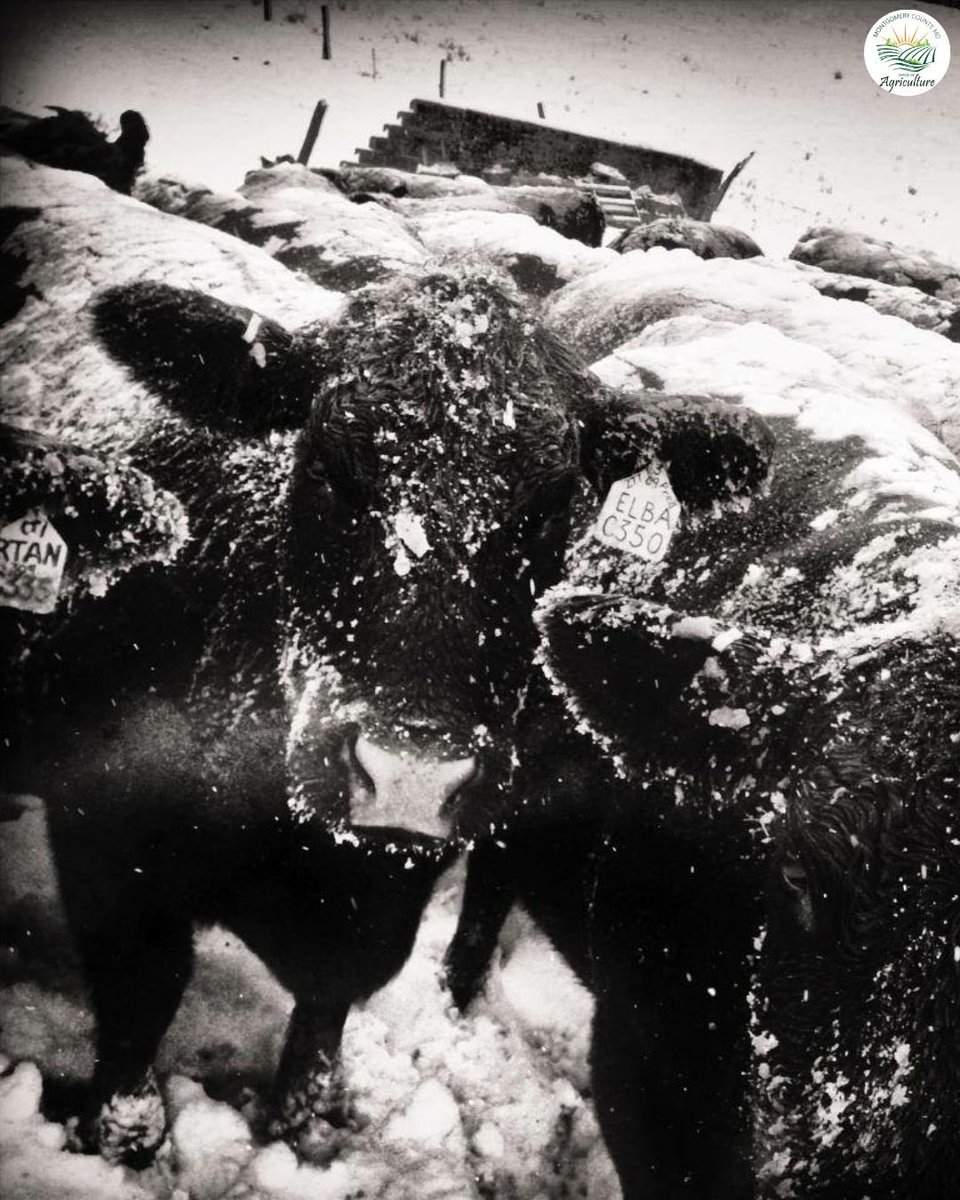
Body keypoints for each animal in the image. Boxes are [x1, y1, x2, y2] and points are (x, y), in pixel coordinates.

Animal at [1, 157, 774, 1170]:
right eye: (329, 461)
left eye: (554, 502)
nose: (408, 772)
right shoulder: (109, 846)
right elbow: (138, 1034)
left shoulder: (387, 891)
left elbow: (324, 1023)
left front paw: (307, 1126)